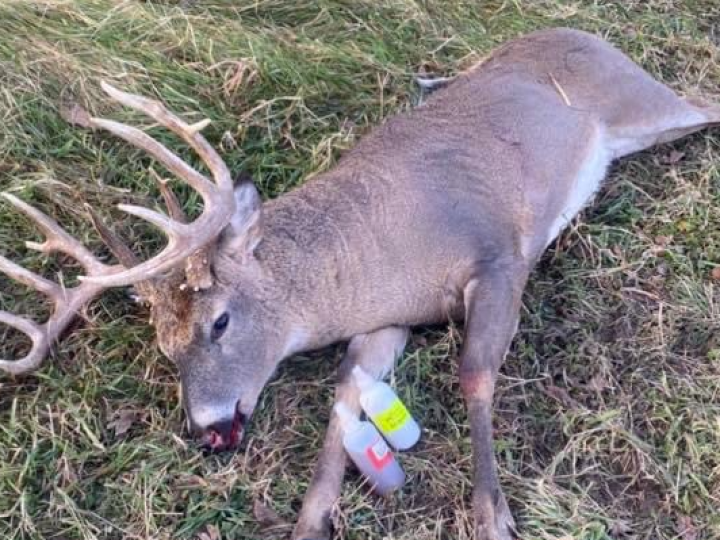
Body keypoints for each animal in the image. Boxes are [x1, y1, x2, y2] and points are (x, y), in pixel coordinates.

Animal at [1, 27, 719, 540]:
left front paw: (492, 513)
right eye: (163, 346)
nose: (207, 427)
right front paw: (310, 519)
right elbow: (345, 395)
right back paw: (430, 78)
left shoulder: (499, 257)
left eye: (221, 320)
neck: (378, 260)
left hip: (640, 102)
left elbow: (474, 372)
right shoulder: (387, 318)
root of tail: (587, 32)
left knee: (702, 103)